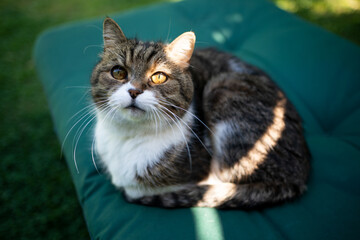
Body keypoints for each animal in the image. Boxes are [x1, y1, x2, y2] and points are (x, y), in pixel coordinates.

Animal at [90, 17, 310, 208]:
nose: (134, 91)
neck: (129, 137)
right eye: (118, 72)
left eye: (159, 77)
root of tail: (300, 176)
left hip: (223, 88)